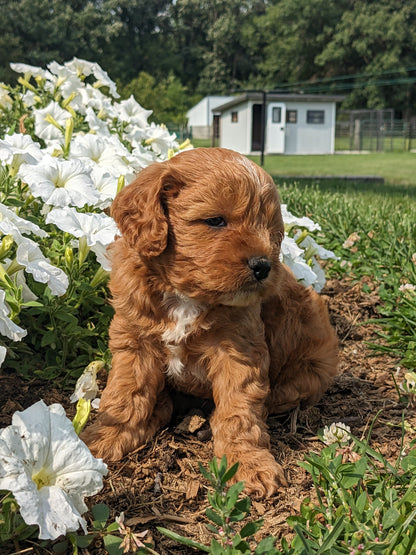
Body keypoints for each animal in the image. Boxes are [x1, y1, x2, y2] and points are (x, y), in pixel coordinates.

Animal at [82, 147, 338, 496]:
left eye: (270, 229)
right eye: (215, 220)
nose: (263, 266)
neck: (186, 293)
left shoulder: (239, 349)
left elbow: (239, 410)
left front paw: (247, 464)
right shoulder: (135, 339)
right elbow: (125, 394)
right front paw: (103, 439)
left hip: (314, 361)